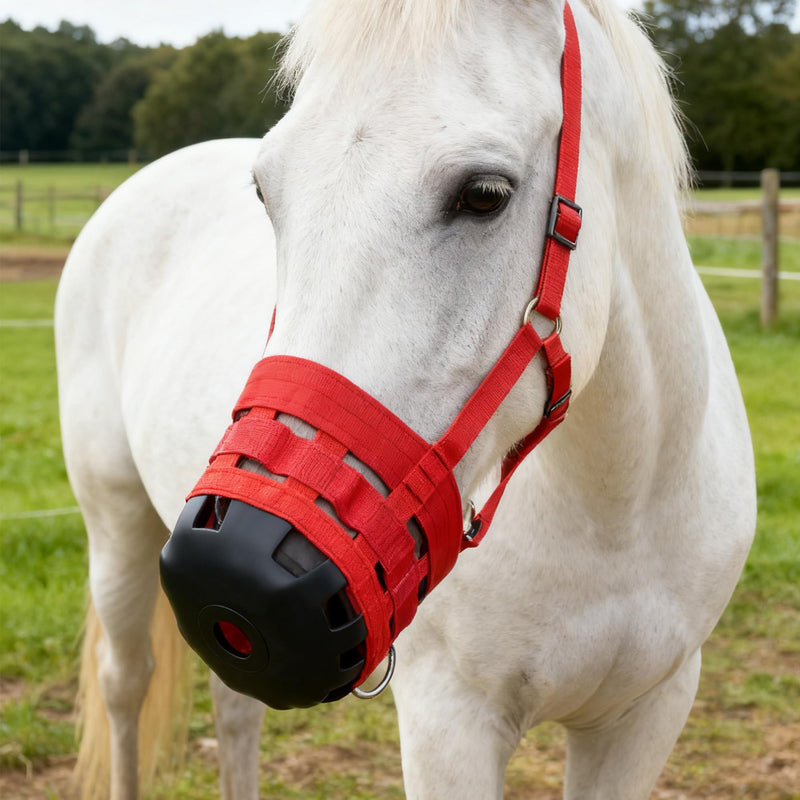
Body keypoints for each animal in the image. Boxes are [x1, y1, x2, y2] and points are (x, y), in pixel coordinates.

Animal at [54, 0, 756, 797]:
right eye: (265, 191)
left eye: (485, 194)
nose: (232, 567)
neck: (616, 515)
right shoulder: (448, 722)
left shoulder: (647, 713)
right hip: (114, 519)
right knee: (125, 683)